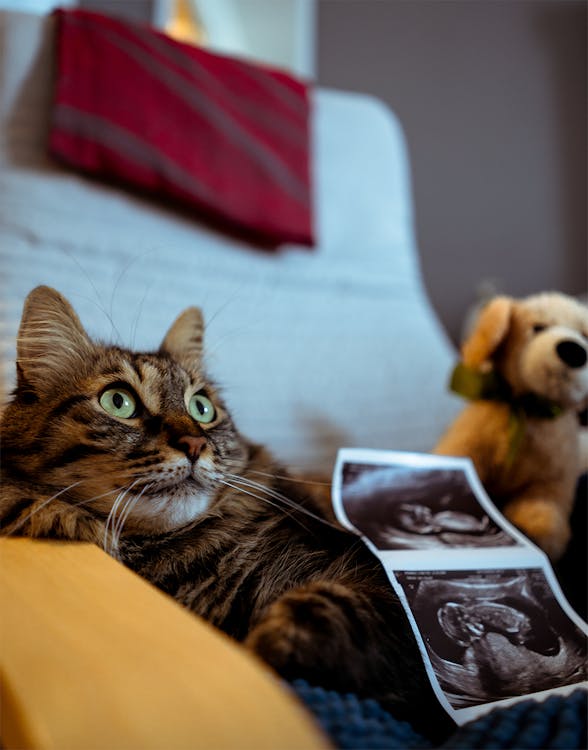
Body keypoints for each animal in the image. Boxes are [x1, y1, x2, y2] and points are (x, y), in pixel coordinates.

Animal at [1, 288, 450, 740]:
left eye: (201, 408)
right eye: (118, 402)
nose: (195, 445)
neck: (183, 562)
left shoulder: (376, 585)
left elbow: (330, 610)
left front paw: (267, 643)